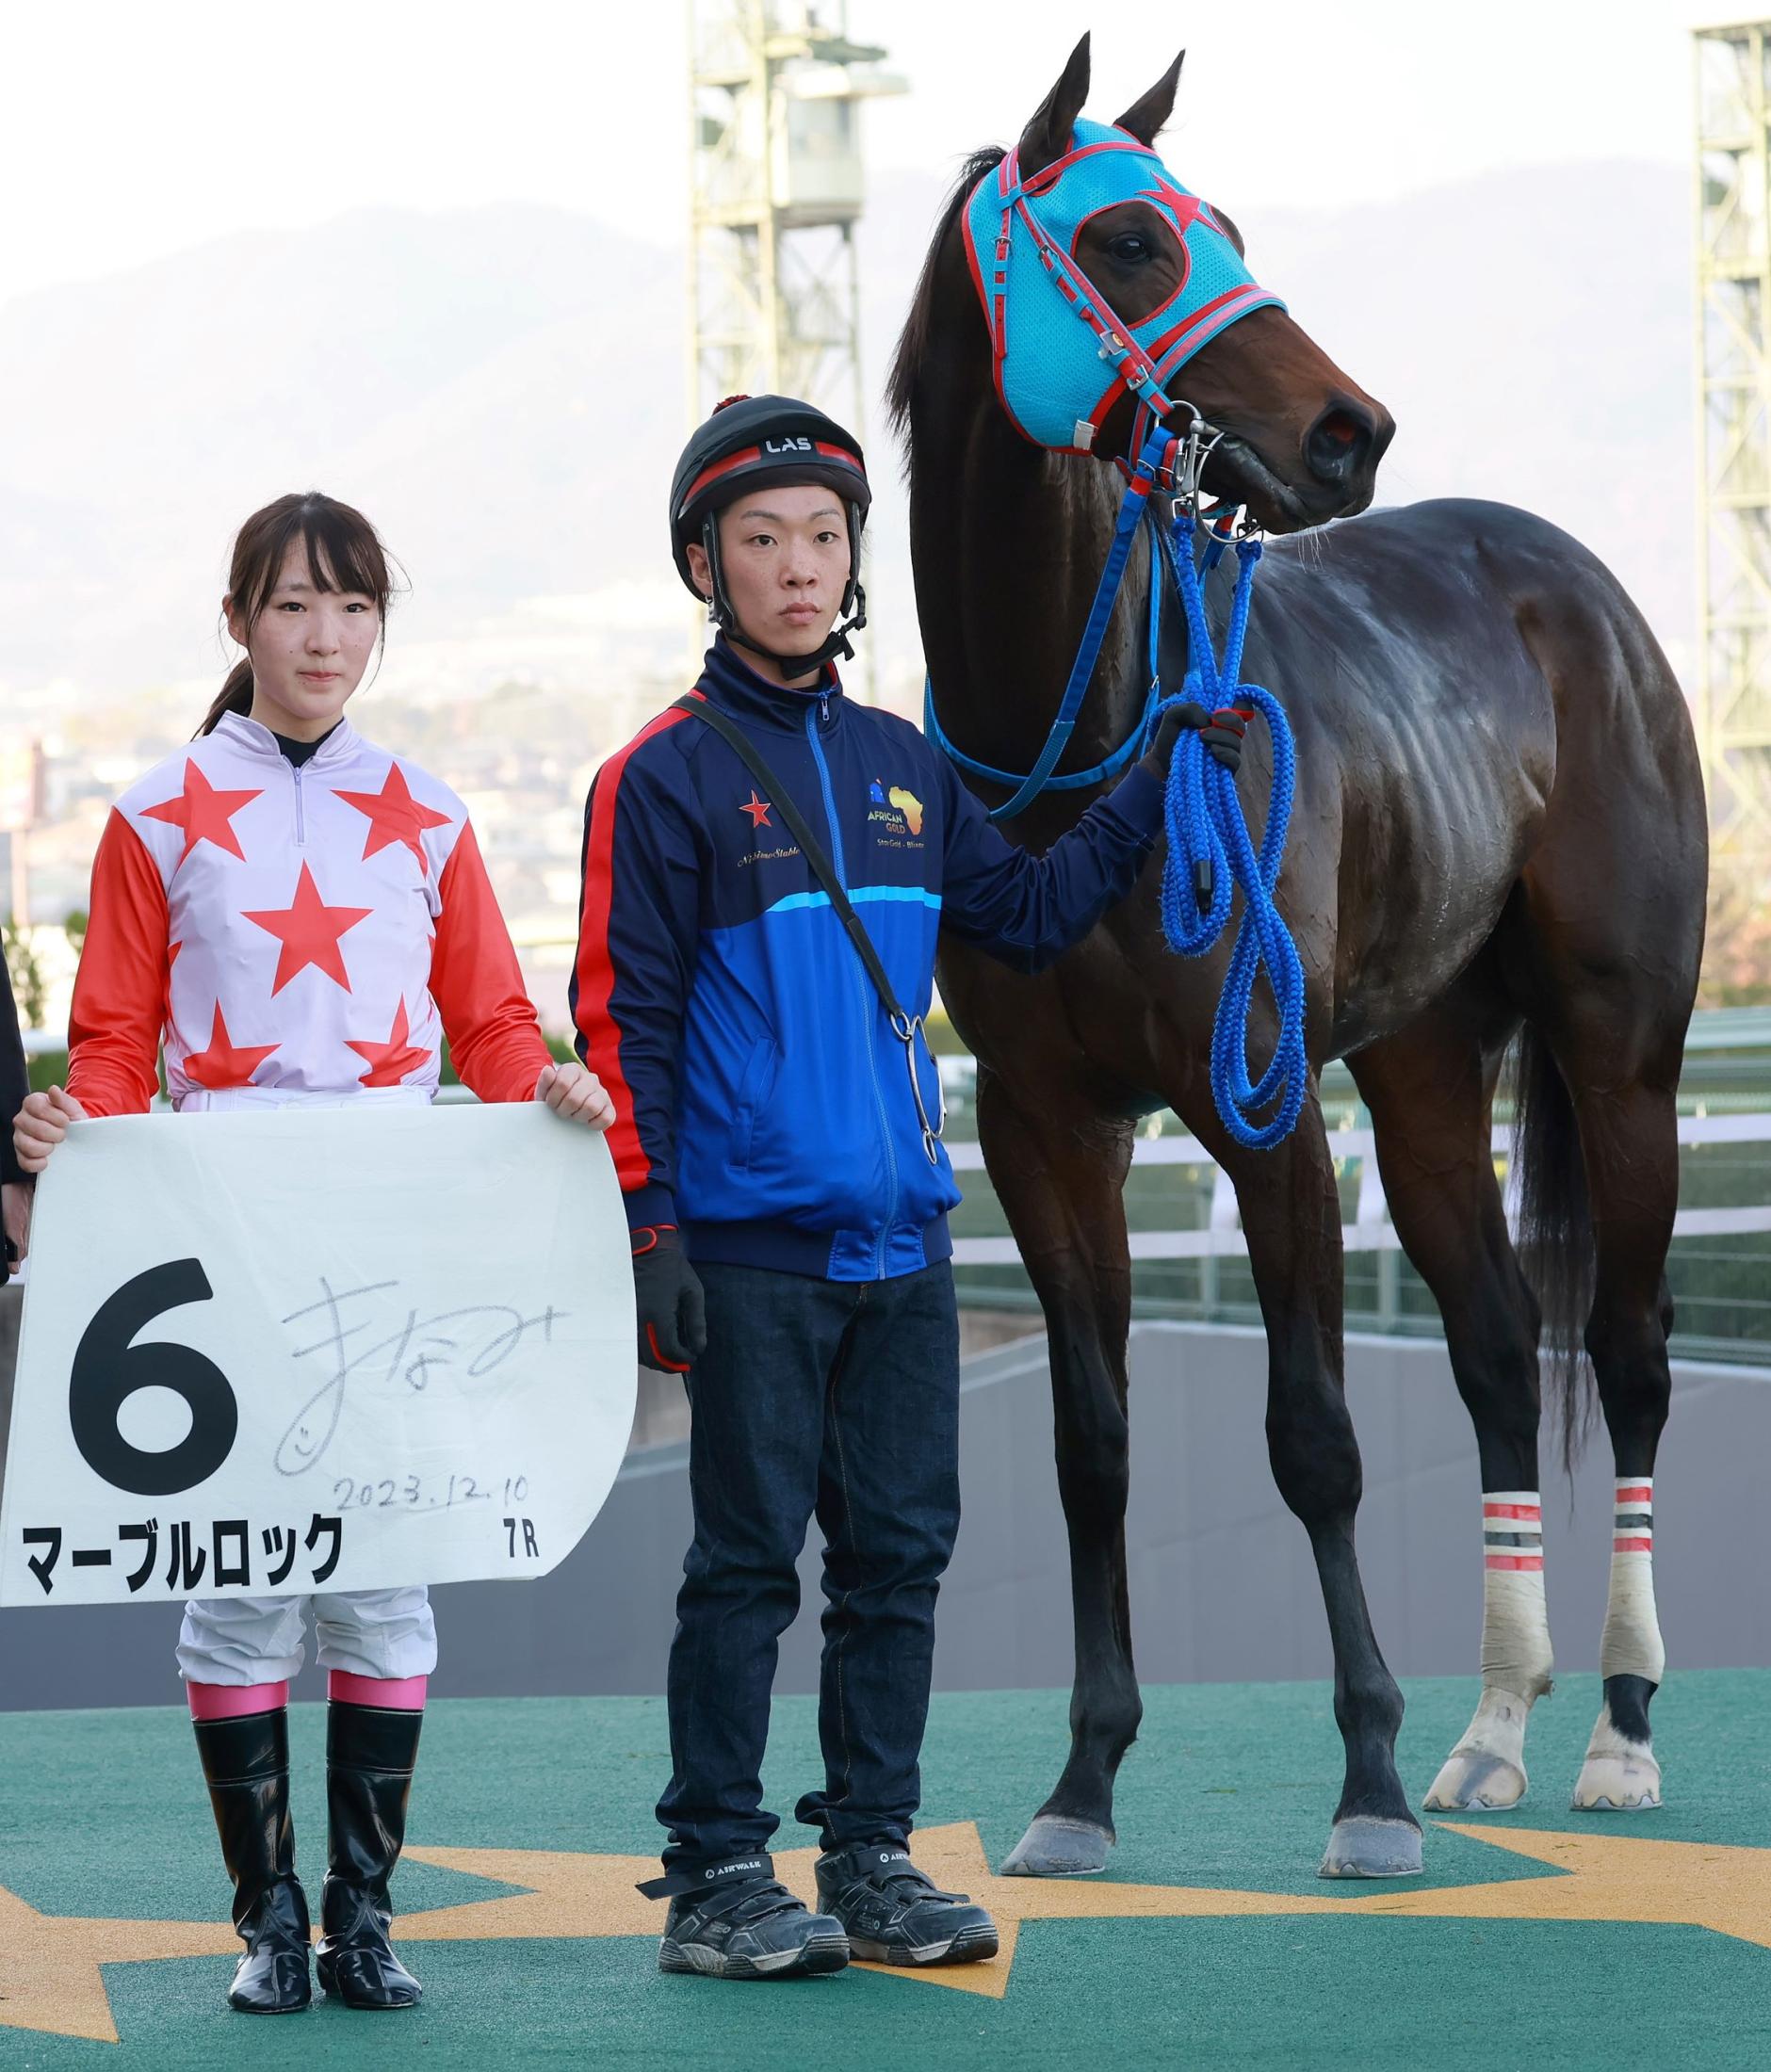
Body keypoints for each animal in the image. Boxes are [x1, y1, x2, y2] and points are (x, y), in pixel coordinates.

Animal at [894, 36, 1706, 1881]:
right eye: (1128, 241)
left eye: (1229, 226)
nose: (1352, 432)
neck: (1087, 756)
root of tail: (1578, 586)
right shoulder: (1046, 1132)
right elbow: (1095, 1449)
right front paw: (1083, 1784)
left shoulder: (1257, 1115)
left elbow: (1316, 1442)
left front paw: (1368, 1784)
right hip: (1421, 1071)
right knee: (1496, 1353)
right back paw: (1495, 1733)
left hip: (1624, 1058)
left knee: (1626, 1360)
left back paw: (1620, 1735)